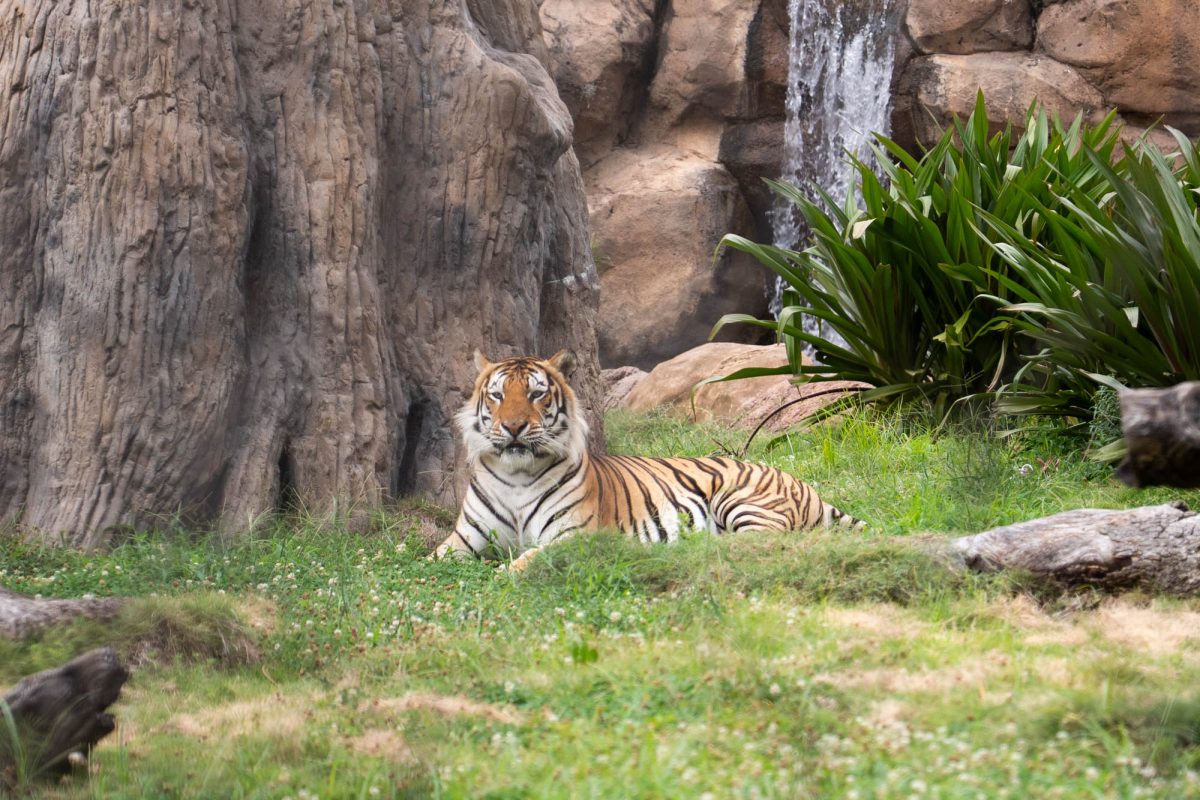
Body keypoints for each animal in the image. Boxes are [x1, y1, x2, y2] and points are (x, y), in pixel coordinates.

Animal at [435, 350, 863, 570]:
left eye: (537, 394)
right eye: (497, 395)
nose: (513, 427)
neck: (518, 474)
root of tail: (805, 486)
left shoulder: (573, 536)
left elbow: (524, 561)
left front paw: (502, 572)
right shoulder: (462, 539)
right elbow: (432, 560)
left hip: (741, 500)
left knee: (761, 542)